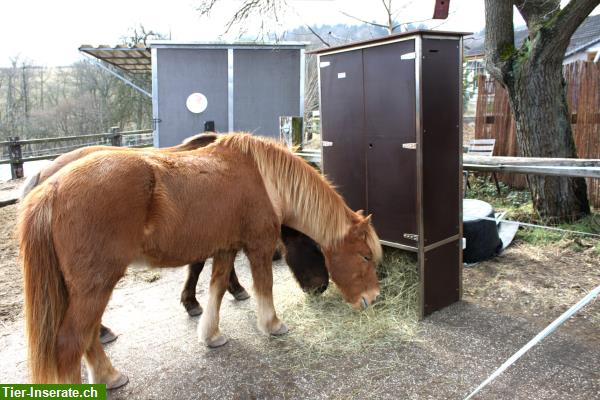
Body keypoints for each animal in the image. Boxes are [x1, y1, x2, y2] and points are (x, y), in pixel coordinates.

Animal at [19, 134, 384, 388]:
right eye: (365, 256)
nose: (373, 299)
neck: (264, 180)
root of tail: (51, 188)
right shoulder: (258, 246)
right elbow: (263, 286)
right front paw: (273, 325)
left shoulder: (224, 249)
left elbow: (218, 288)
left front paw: (210, 334)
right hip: (95, 284)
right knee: (70, 343)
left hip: (85, 287)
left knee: (88, 335)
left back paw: (109, 376)